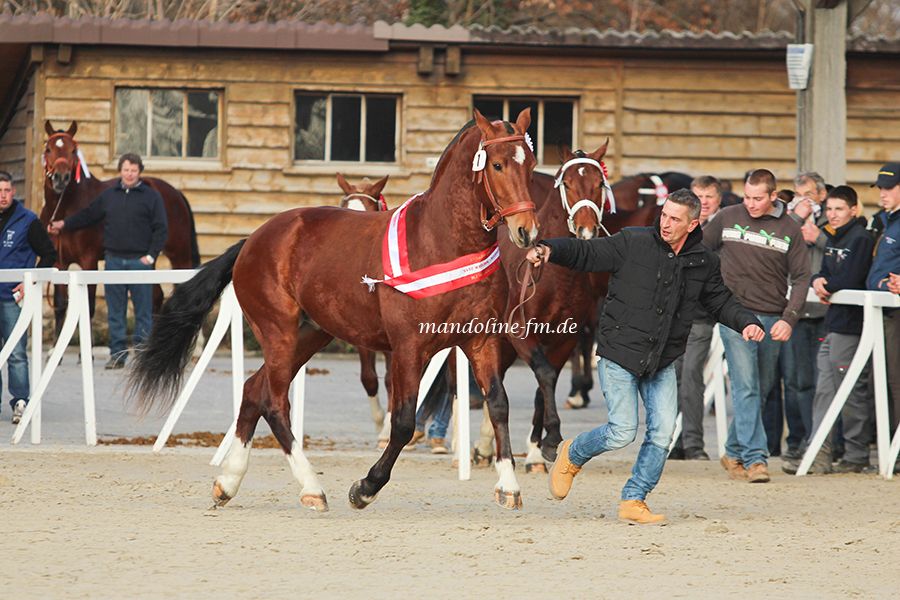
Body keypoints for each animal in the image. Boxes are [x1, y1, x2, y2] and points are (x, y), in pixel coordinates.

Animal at [40, 120, 200, 330]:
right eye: (48, 149)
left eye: (73, 150)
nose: (61, 178)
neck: (65, 209)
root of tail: (176, 193)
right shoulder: (60, 263)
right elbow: (60, 306)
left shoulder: (89, 261)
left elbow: (89, 306)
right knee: (156, 296)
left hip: (179, 255)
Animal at [129, 109, 540, 510]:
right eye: (498, 165)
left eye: (531, 164)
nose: (527, 231)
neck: (442, 242)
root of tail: (253, 240)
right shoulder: (409, 348)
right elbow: (403, 422)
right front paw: (366, 487)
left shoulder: (480, 341)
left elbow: (498, 404)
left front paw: (509, 486)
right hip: (278, 331)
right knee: (274, 402)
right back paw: (311, 487)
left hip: (310, 334)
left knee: (253, 390)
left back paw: (228, 483)